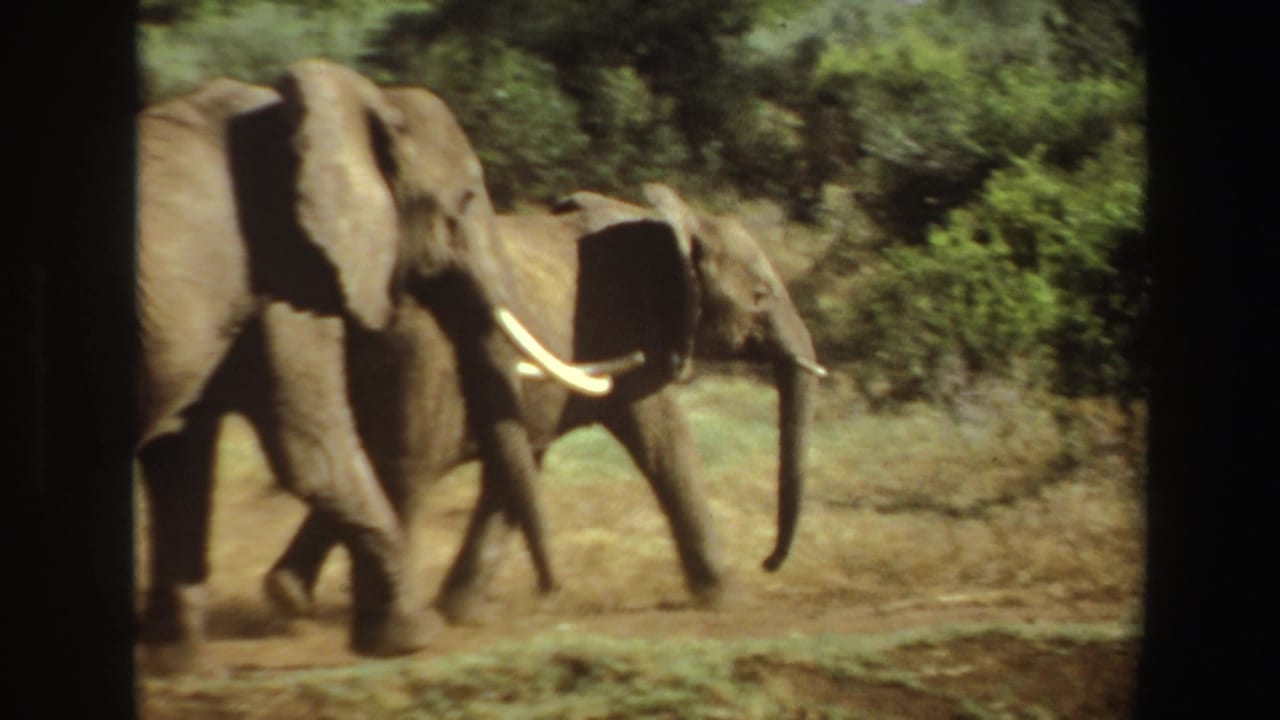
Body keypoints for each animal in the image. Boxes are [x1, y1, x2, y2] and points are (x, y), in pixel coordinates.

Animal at [135, 59, 615, 672]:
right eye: (464, 199)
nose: (554, 592)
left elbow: (183, 453)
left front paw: (184, 669)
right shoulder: (288, 271)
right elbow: (313, 452)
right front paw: (414, 637)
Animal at [262, 182, 828, 625]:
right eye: (760, 295)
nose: (769, 562)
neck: (680, 221)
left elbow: (519, 469)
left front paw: (465, 612)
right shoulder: (631, 331)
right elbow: (665, 441)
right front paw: (729, 600)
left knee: (359, 460)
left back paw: (289, 599)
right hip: (424, 355)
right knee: (409, 464)